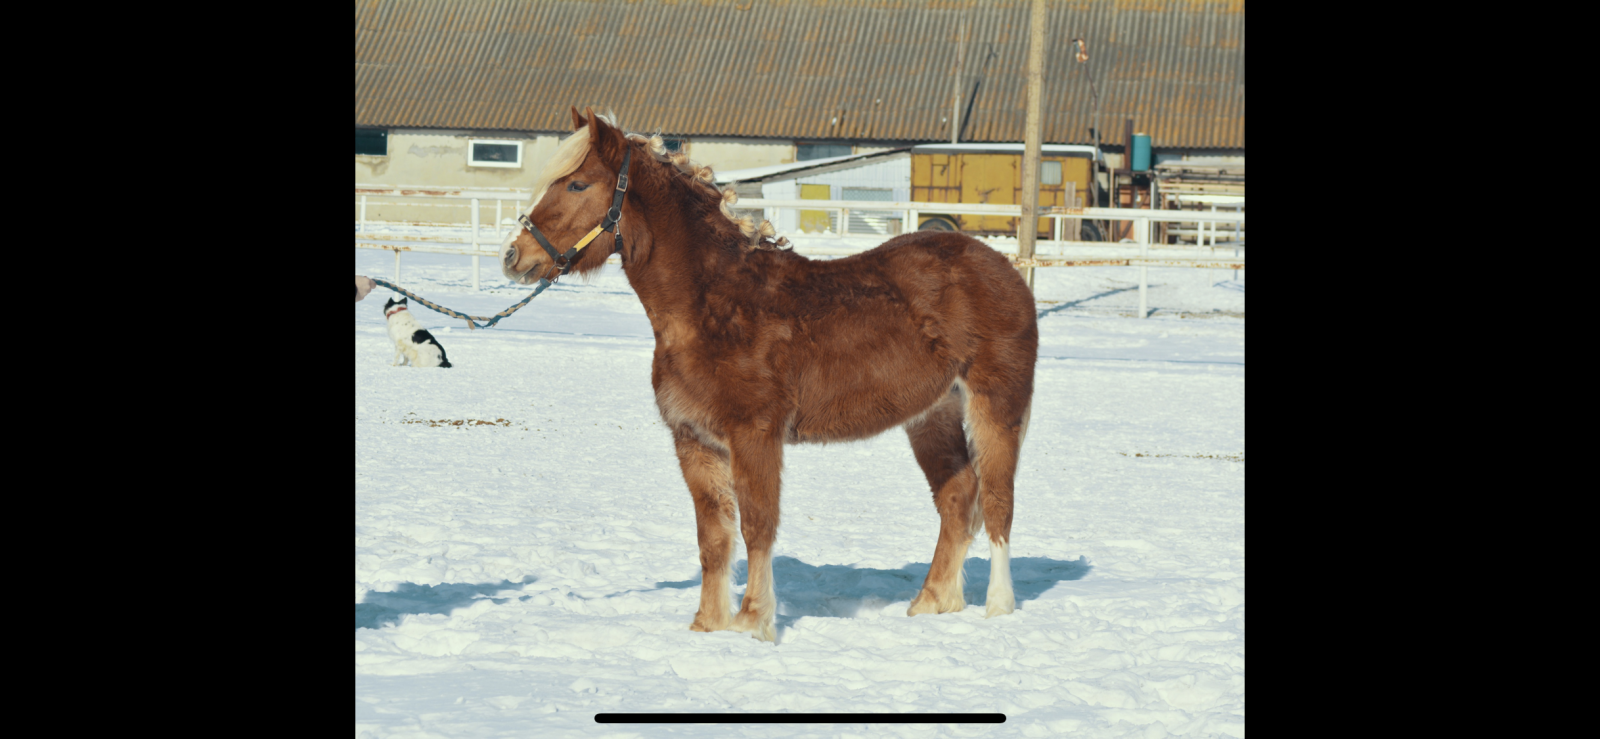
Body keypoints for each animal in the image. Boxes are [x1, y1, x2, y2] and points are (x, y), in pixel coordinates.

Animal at [502, 108, 1037, 642]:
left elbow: (757, 525)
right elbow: (714, 537)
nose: (514, 257)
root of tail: (1004, 267)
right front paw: (707, 624)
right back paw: (931, 602)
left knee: (998, 500)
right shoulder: (694, 439)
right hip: (932, 414)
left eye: (577, 184)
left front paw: (754, 622)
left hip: (996, 405)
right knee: (957, 494)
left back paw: (998, 606)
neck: (711, 304)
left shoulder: (754, 434)